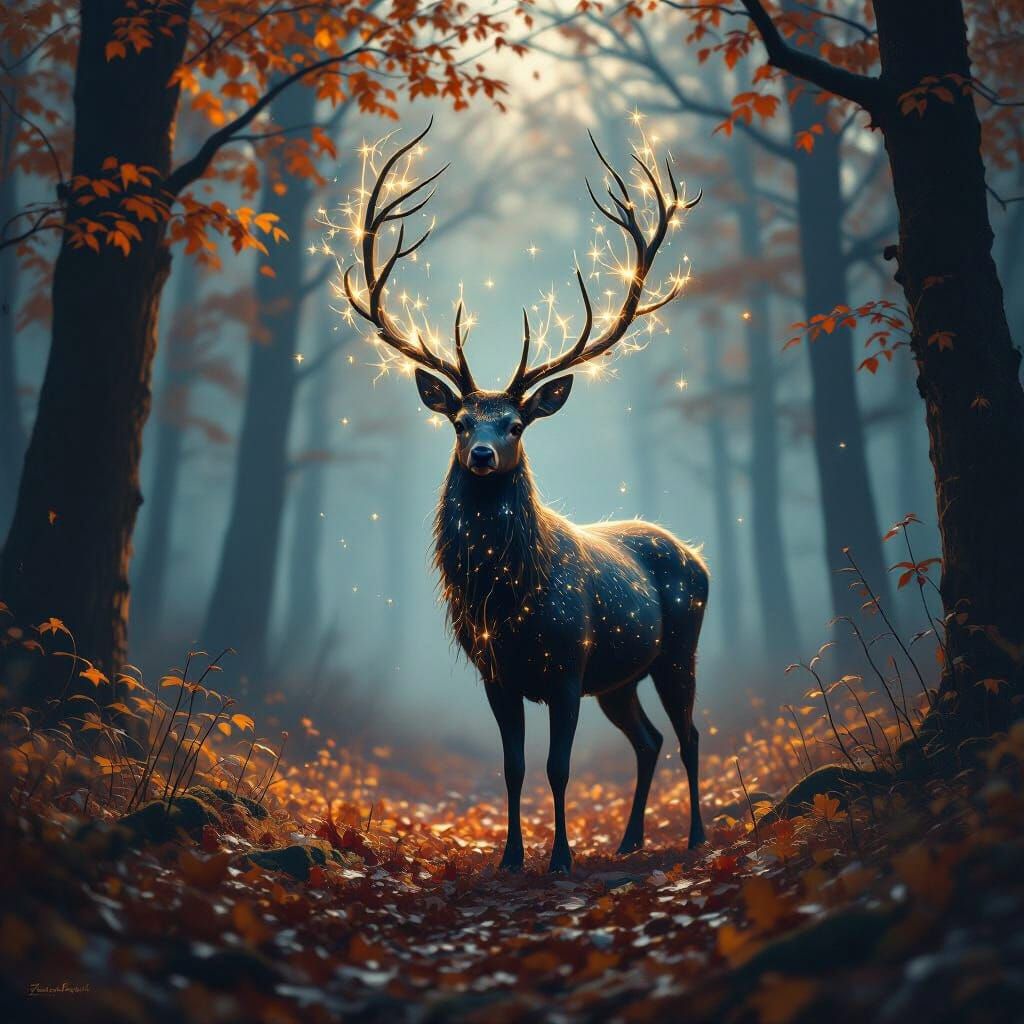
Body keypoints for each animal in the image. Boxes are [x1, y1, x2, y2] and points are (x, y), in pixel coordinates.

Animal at [340, 123, 707, 873]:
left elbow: (557, 768)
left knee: (688, 736)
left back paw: (692, 839)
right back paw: (628, 840)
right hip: (621, 679)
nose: (482, 455)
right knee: (650, 739)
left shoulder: (568, 665)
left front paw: (560, 857)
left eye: (514, 424)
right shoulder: (496, 673)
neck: (511, 604)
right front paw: (511, 856)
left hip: (677, 649)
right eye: (459, 422)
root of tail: (700, 558)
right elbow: (511, 768)